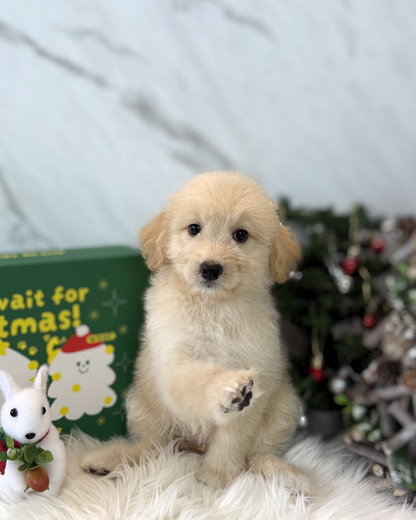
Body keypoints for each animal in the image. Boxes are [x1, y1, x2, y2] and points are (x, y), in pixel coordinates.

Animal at [81, 173, 308, 494]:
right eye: (193, 229)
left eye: (241, 235)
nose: (210, 268)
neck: (212, 306)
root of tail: (195, 445)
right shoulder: (174, 363)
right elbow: (198, 379)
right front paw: (228, 387)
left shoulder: (259, 376)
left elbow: (232, 439)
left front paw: (217, 475)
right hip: (143, 406)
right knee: (154, 447)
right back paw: (109, 459)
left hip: (284, 408)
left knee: (255, 455)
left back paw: (285, 475)